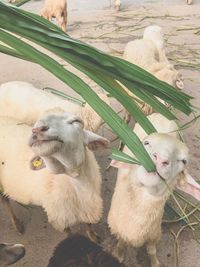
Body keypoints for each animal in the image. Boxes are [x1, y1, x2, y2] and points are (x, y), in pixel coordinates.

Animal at [108, 113, 197, 267]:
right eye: (146, 143)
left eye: (183, 161)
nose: (160, 158)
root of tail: (160, 113)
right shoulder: (120, 231)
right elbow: (121, 245)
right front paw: (118, 256)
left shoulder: (154, 235)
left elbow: (151, 251)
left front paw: (155, 263)